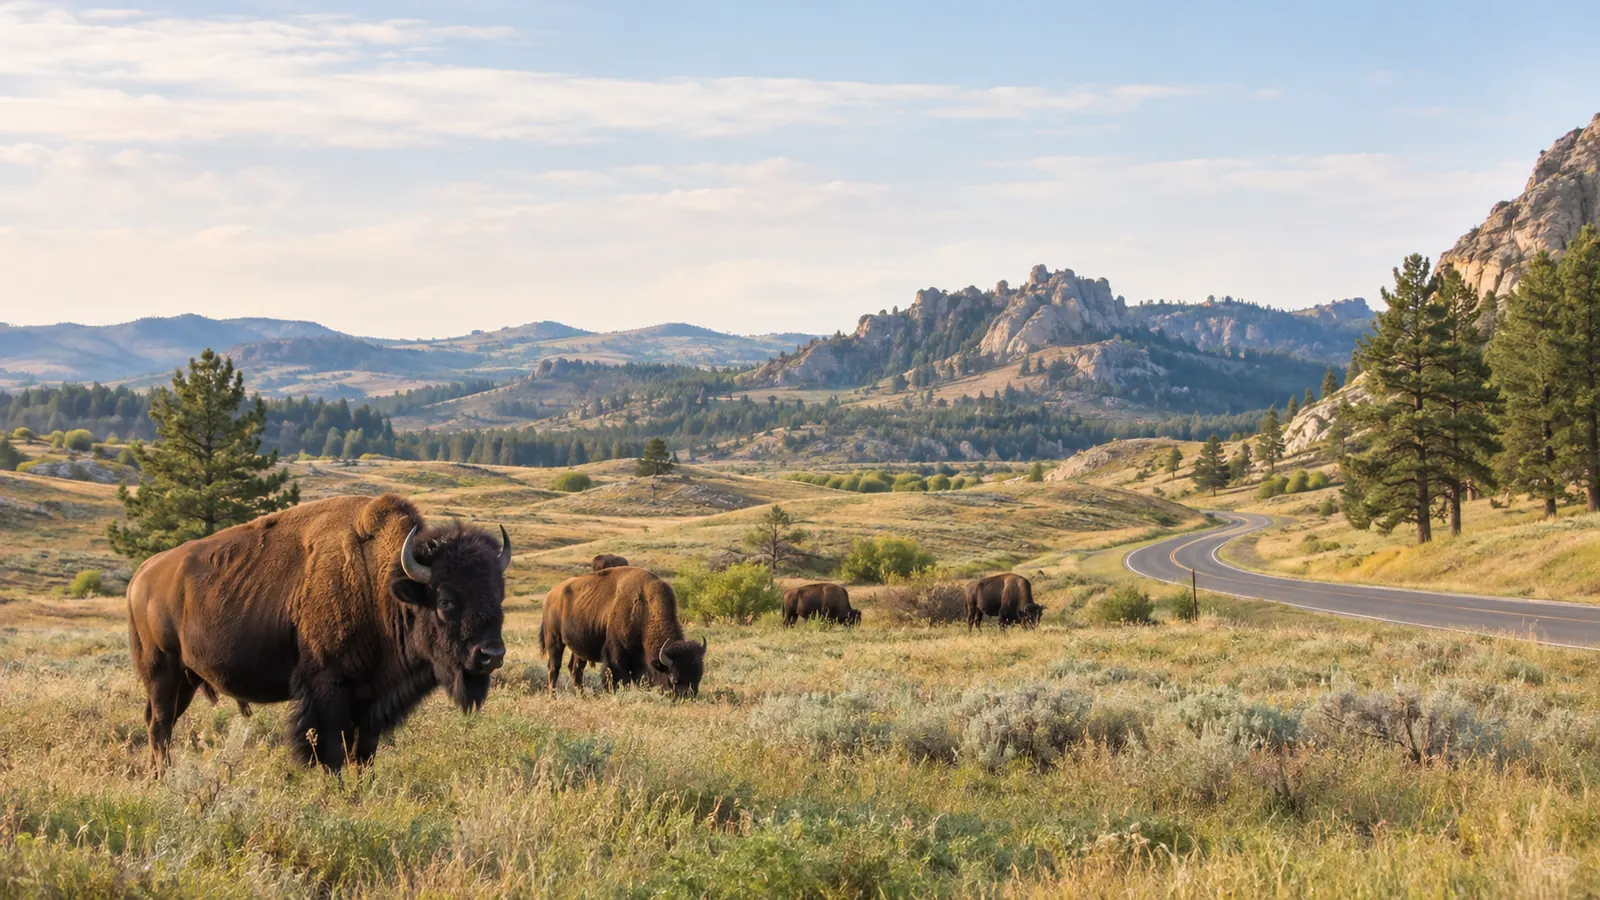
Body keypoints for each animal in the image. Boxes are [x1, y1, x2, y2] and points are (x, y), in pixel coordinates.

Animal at [125, 494, 511, 772]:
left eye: (498, 595)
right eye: (445, 600)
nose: (490, 655)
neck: (381, 584)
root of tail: (141, 575)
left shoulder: (371, 700)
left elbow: (363, 753)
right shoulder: (327, 688)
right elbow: (331, 750)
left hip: (186, 679)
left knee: (160, 723)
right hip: (162, 672)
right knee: (159, 726)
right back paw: (164, 776)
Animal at [541, 566, 706, 697]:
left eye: (698, 677)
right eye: (673, 679)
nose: (687, 697)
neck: (644, 606)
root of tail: (550, 595)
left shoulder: (640, 661)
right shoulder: (616, 654)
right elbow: (617, 678)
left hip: (579, 647)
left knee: (575, 669)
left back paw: (583, 697)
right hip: (554, 640)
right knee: (554, 668)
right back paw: (552, 697)